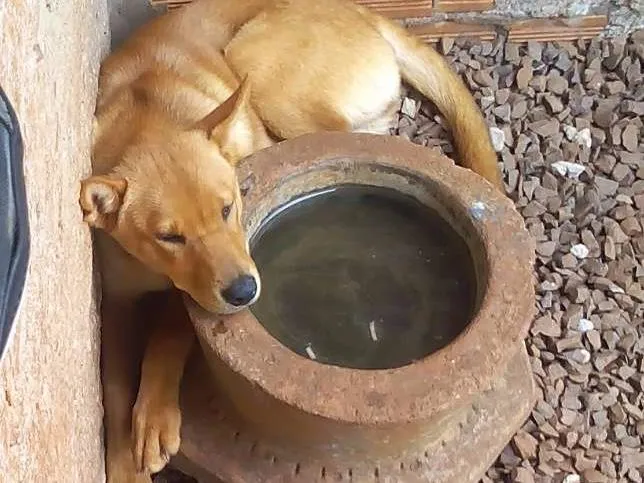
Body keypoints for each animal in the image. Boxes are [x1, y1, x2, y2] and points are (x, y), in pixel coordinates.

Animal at [80, 0, 504, 480]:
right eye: (169, 237)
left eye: (228, 208)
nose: (244, 292)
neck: (146, 116)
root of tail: (364, 13)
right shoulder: (116, 305)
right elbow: (112, 385)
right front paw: (120, 457)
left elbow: (170, 330)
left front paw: (154, 414)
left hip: (256, 63)